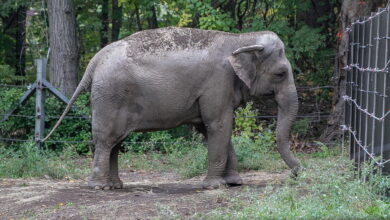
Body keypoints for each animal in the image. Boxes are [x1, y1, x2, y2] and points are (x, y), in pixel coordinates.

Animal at [45, 27, 302, 189]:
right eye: (281, 73)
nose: (296, 173)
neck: (241, 39)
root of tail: (95, 60)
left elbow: (213, 128)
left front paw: (234, 183)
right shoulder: (217, 83)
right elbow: (219, 124)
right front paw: (215, 186)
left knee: (115, 143)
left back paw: (115, 186)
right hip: (110, 96)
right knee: (106, 140)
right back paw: (99, 188)